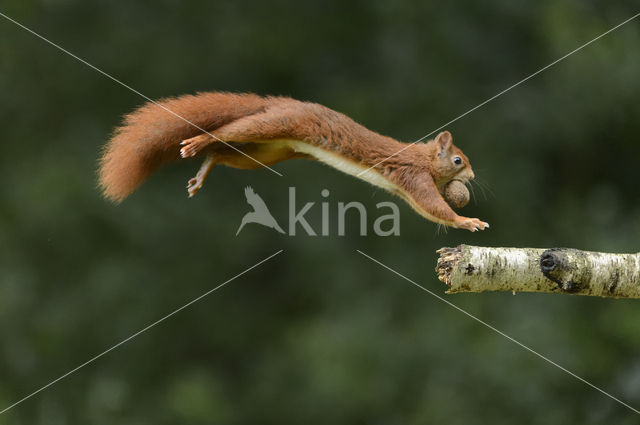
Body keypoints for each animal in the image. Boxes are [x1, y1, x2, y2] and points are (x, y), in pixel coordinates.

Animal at [99, 92, 490, 232]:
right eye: (459, 160)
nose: (473, 176)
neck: (424, 159)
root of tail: (282, 102)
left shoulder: (406, 191)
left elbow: (425, 211)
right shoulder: (414, 178)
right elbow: (435, 207)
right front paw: (468, 220)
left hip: (271, 152)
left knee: (223, 154)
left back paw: (203, 169)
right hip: (273, 126)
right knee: (225, 132)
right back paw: (198, 141)